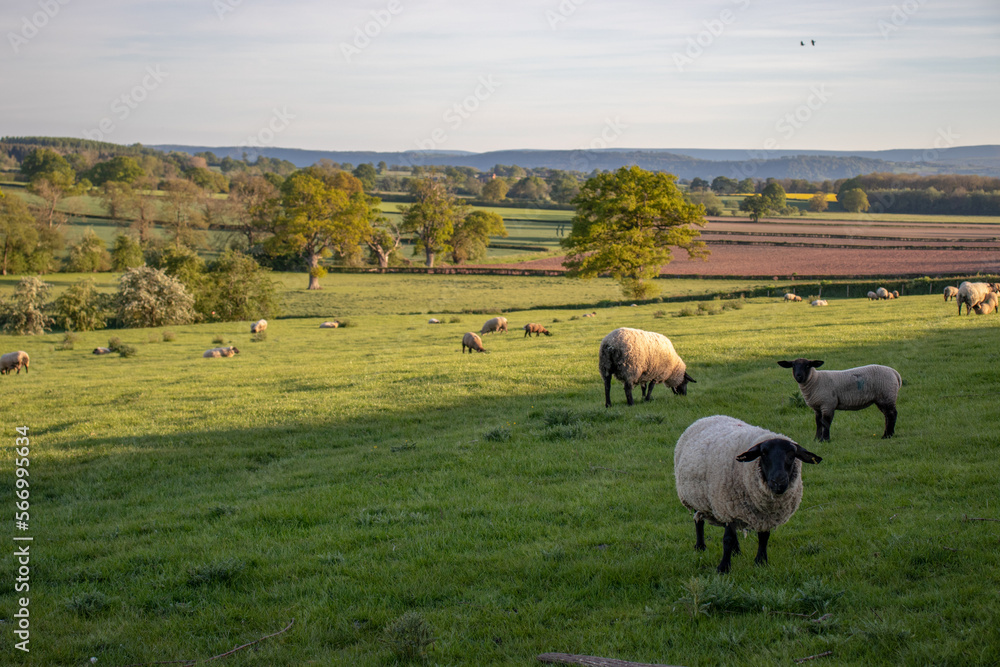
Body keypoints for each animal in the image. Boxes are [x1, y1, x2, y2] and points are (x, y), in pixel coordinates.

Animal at [674, 415, 822, 574]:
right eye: (763, 453)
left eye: (792, 455)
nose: (778, 482)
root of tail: (709, 417)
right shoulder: (727, 507)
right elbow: (727, 539)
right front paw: (723, 568)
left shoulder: (764, 514)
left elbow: (764, 537)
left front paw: (761, 562)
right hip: (697, 496)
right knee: (699, 520)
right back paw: (700, 546)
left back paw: (736, 551)